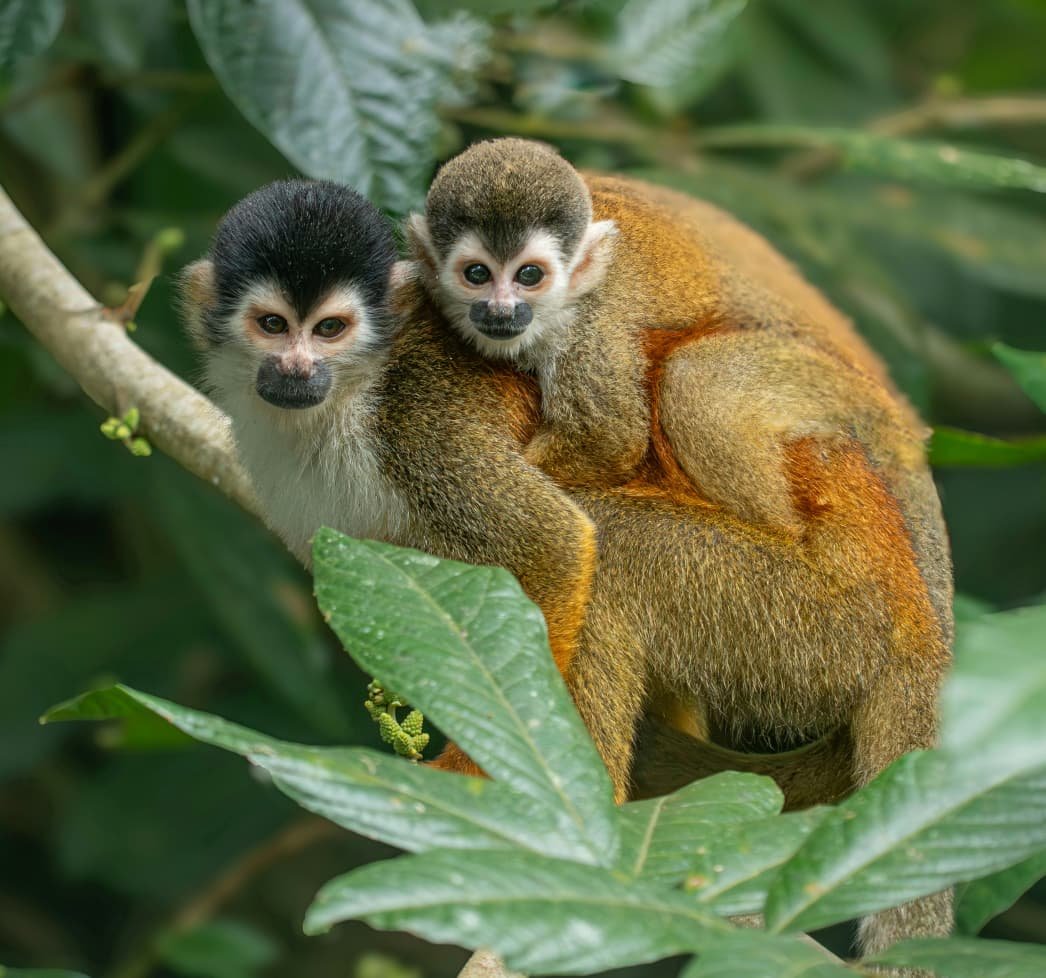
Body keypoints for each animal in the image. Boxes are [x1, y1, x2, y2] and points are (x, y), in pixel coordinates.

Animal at [181, 177, 952, 967]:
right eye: (273, 325)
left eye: (330, 329)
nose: (297, 369)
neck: (342, 401)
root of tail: (918, 622)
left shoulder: (421, 428)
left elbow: (554, 546)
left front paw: (503, 782)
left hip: (816, 625)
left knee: (615, 543)